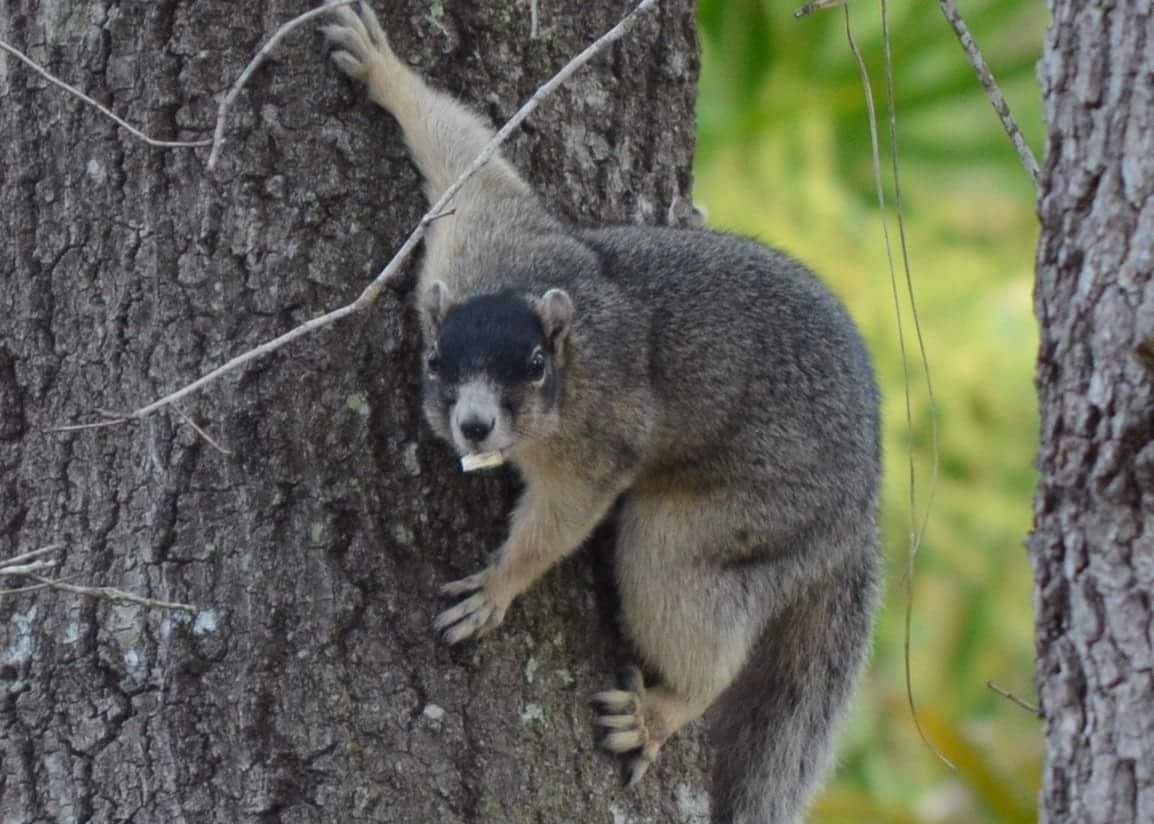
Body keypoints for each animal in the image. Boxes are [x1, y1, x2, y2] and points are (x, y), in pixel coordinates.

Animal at [320, 3, 877, 817]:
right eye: (434, 362)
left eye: (534, 366)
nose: (474, 426)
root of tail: (859, 511)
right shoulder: (479, 238)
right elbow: (468, 159)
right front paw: (382, 70)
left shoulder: (598, 440)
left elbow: (560, 520)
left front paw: (497, 587)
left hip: (725, 521)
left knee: (692, 617)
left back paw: (659, 713)